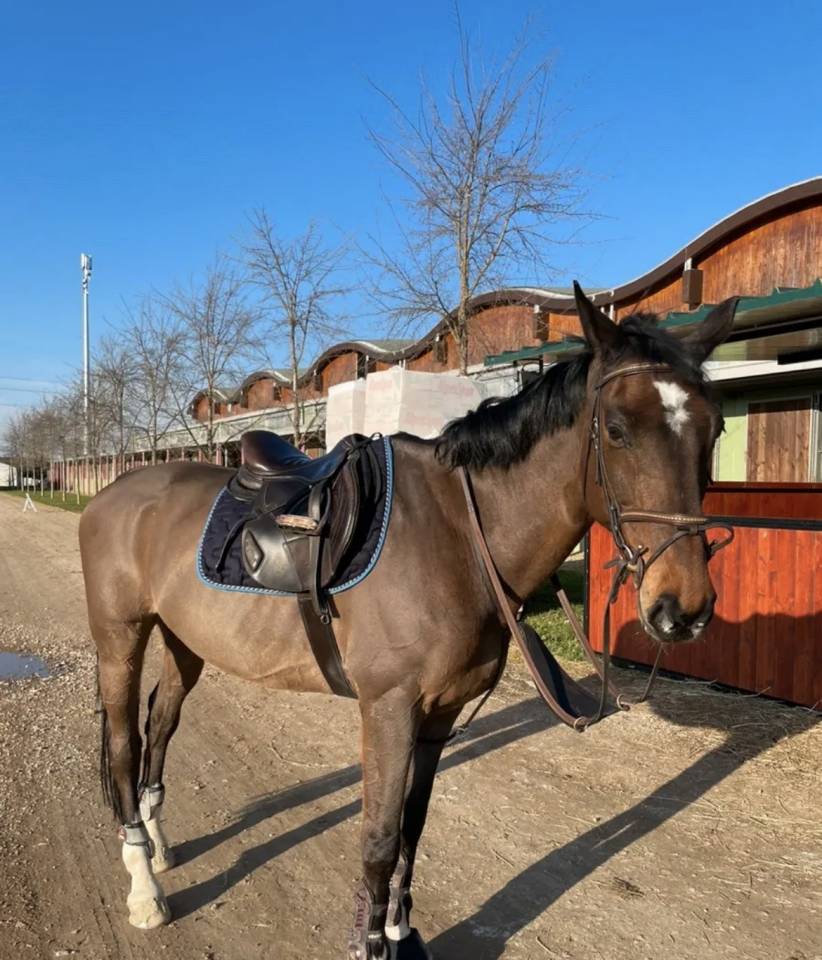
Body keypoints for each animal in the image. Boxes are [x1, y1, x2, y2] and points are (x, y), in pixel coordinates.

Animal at [79, 284, 737, 959]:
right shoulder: (389, 707)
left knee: (161, 726)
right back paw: (144, 887)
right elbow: (379, 837)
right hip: (119, 639)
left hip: (184, 640)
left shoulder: (439, 714)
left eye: (714, 428)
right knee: (125, 744)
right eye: (617, 429)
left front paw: (399, 928)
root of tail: (115, 491)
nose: (682, 607)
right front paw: (371, 941)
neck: (459, 534)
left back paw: (159, 845)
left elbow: (412, 830)